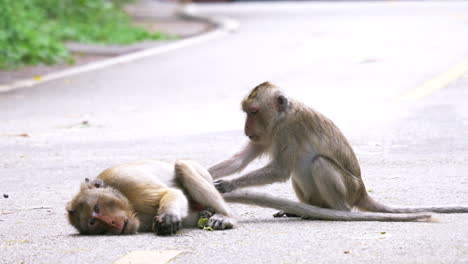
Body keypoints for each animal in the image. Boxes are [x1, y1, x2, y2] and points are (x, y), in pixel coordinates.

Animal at [211, 81, 468, 216]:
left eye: (253, 112)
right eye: (246, 113)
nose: (246, 128)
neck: (282, 115)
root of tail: (362, 192)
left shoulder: (287, 129)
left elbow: (280, 170)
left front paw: (230, 185)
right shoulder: (266, 134)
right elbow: (239, 160)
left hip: (349, 189)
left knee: (319, 163)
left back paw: (338, 211)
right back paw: (304, 209)